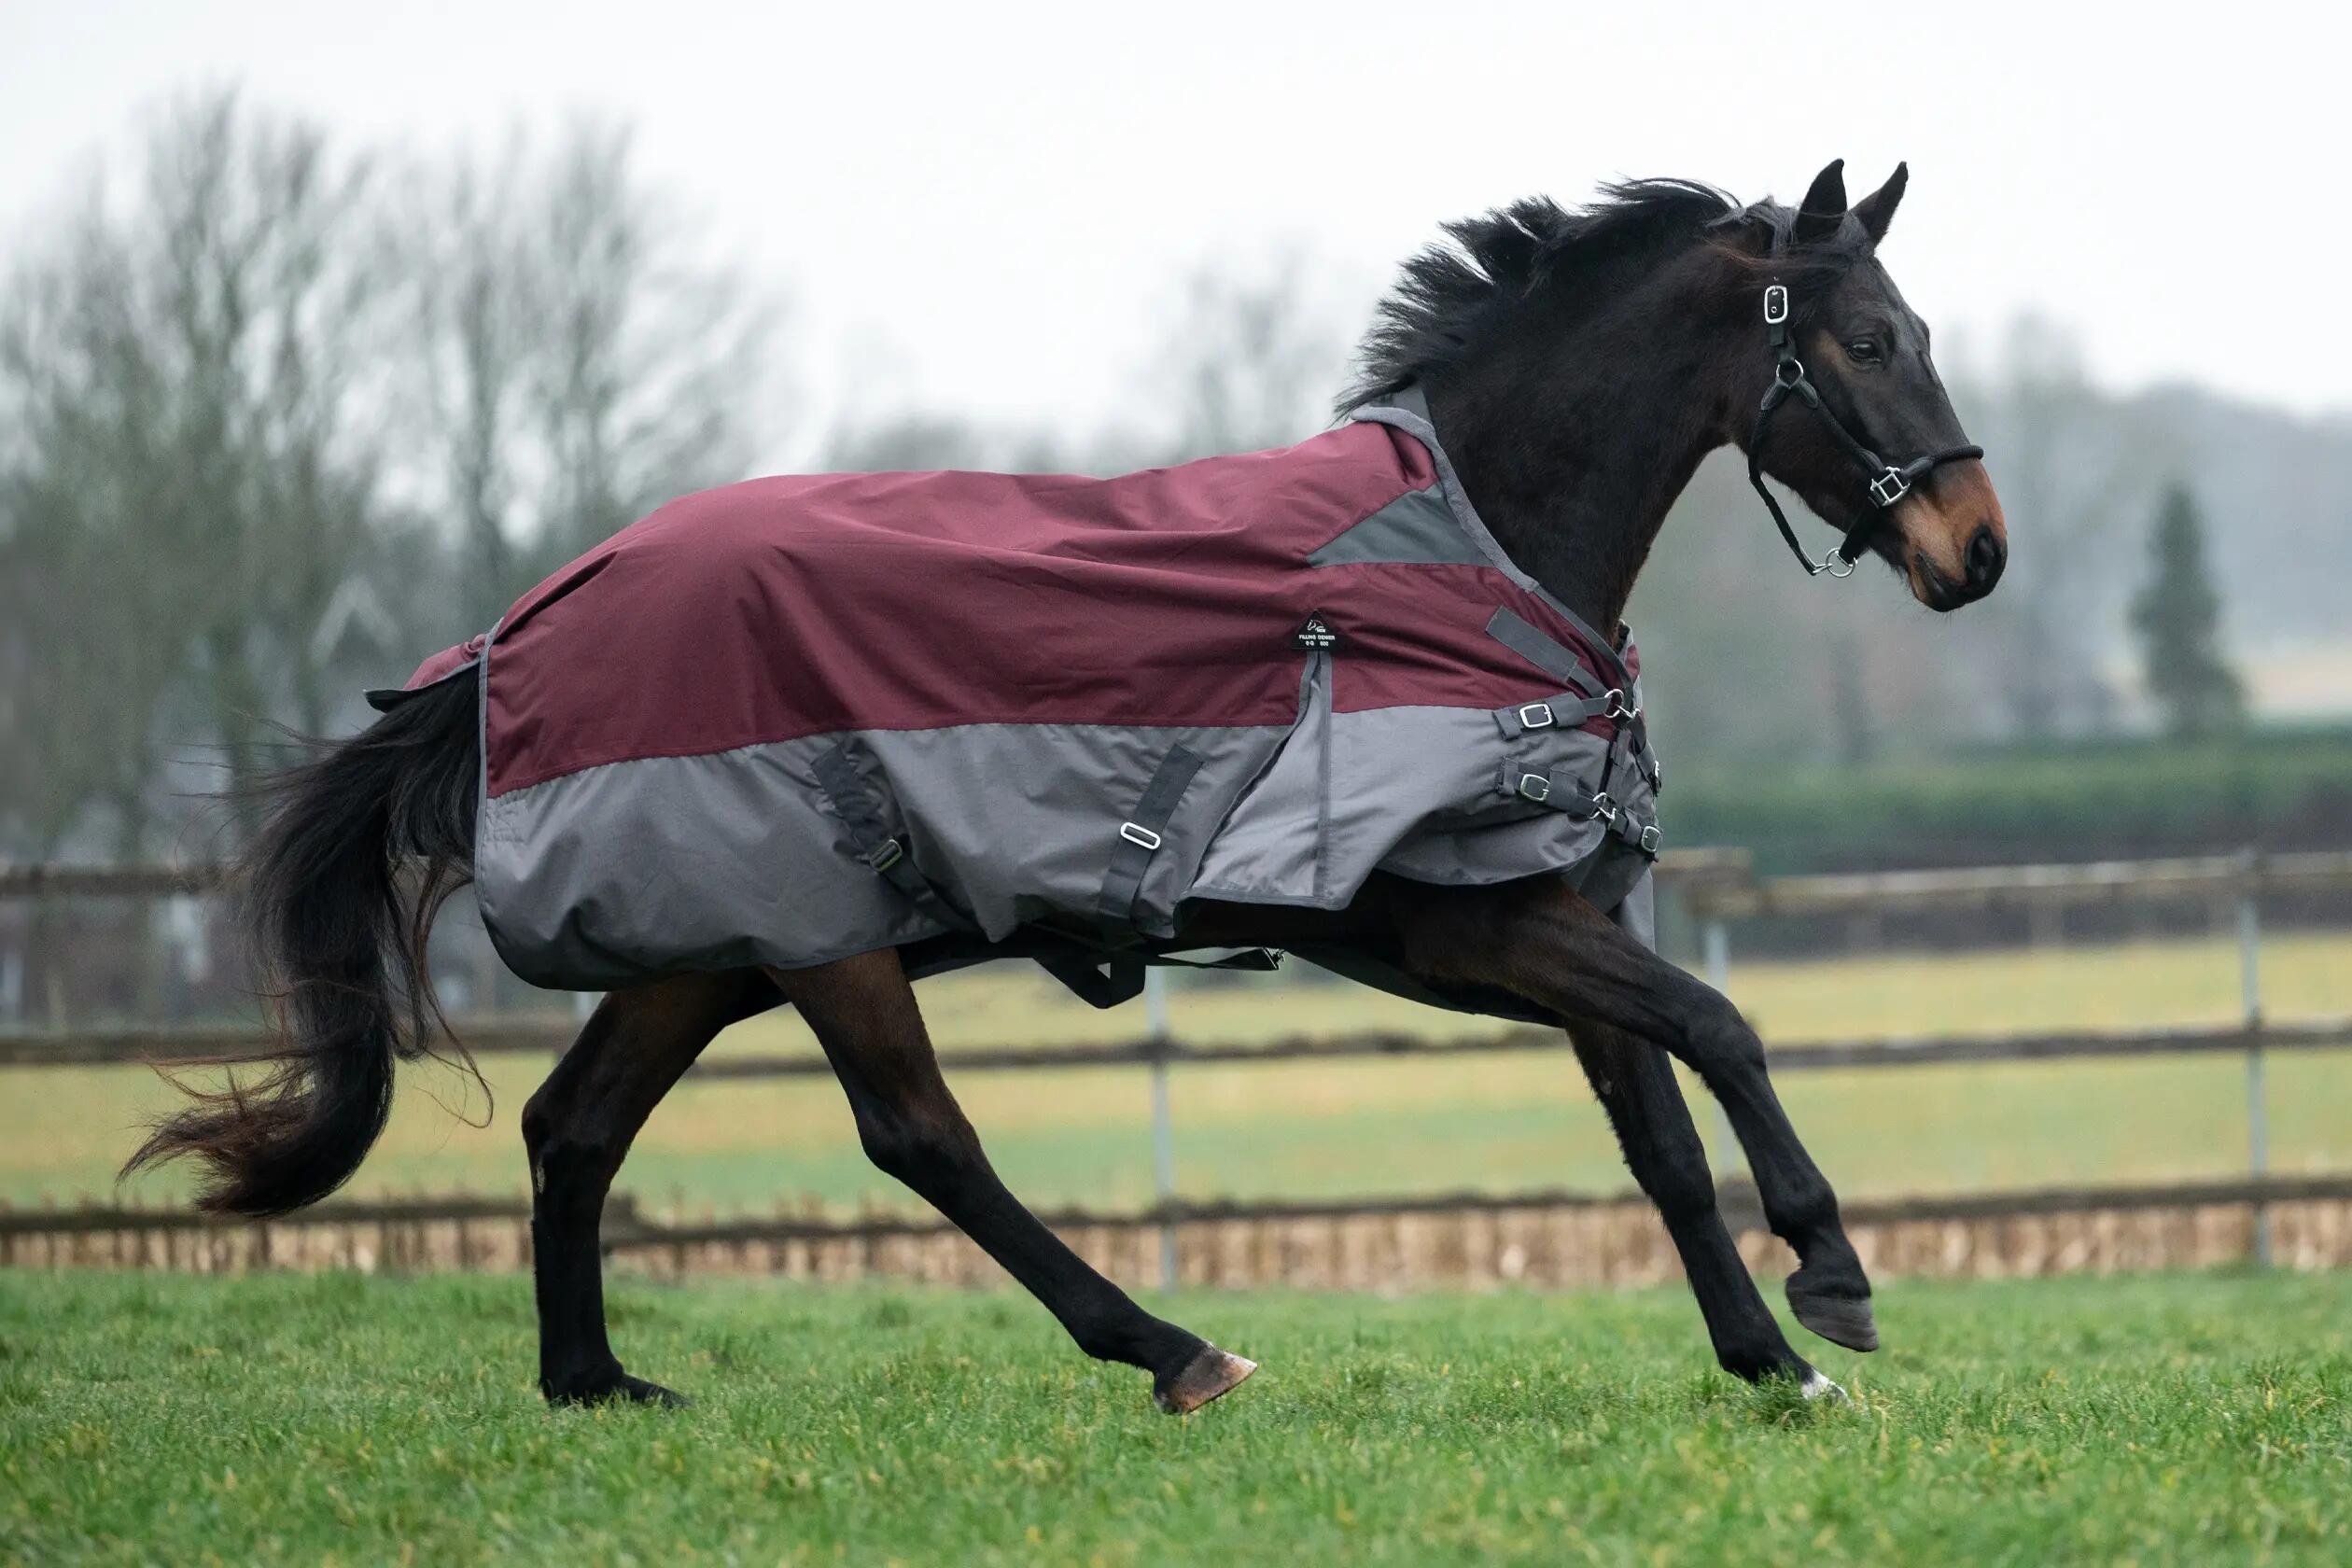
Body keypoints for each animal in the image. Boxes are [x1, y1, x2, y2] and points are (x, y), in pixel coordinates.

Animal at [128, 160, 2006, 1414]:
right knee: (920, 1137)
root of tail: (529, 624)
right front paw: (1831, 1278)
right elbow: (1721, 1030)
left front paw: (1766, 1358)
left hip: (707, 945)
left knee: (572, 1127)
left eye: (1908, 327)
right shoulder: (1457, 926)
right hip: (823, 936)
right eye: (1862, 338)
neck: (1463, 548)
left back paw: (597, 1384)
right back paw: (1173, 1350)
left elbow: (1660, 1128)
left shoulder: (1550, 903)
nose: (1975, 551)